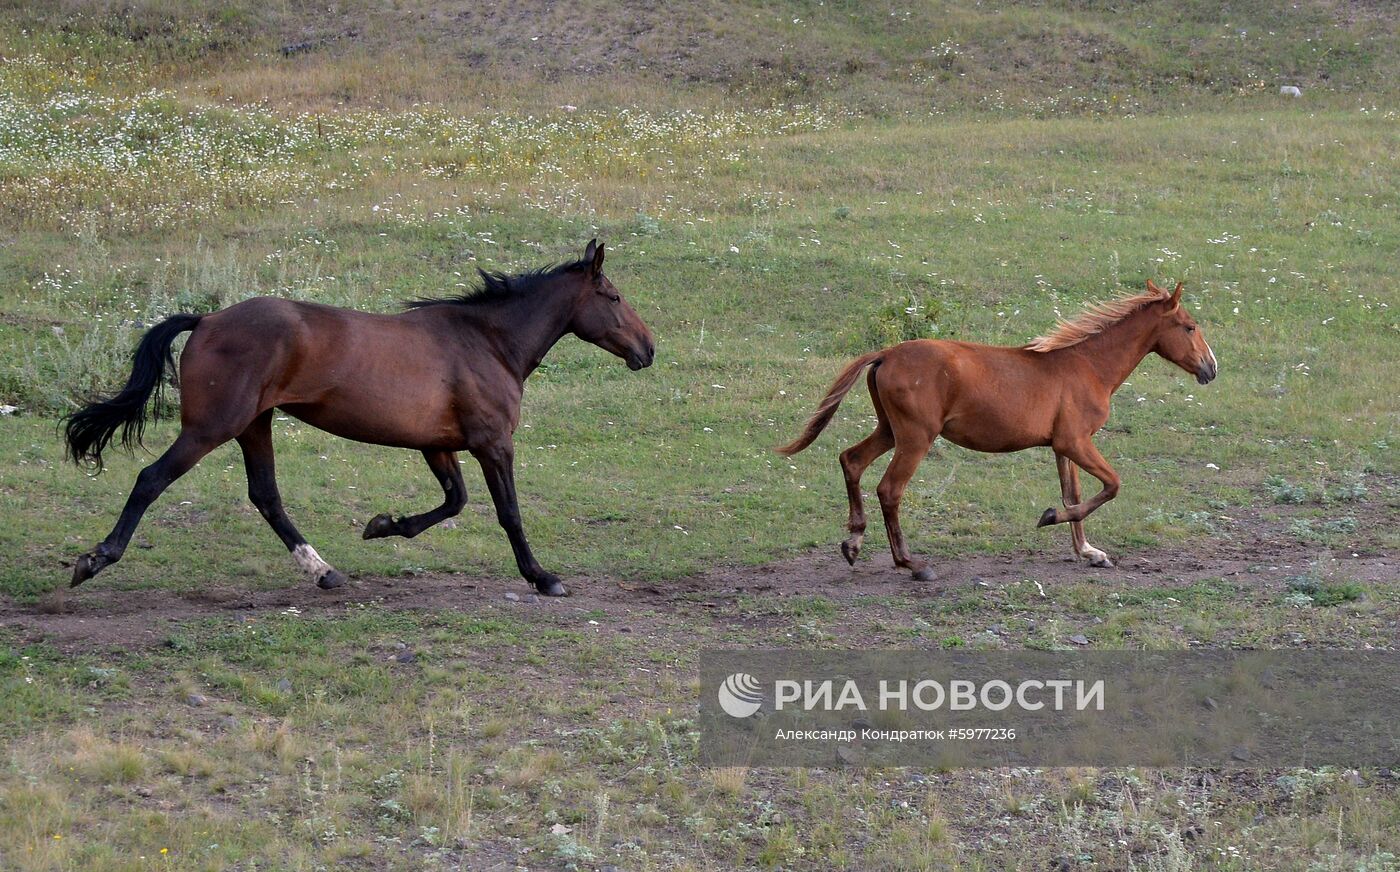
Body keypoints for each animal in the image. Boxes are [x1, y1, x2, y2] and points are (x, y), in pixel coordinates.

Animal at [65, 239, 655, 596]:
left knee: (266, 496)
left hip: (254, 426)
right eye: (614, 296)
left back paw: (324, 571)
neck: (488, 343)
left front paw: (383, 526)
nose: (648, 350)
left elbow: (454, 502)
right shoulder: (493, 443)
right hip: (212, 428)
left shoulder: (438, 445)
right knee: (151, 479)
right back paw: (95, 560)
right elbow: (507, 513)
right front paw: (542, 577)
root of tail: (207, 319)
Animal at [778, 279, 1215, 579]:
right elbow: (1111, 486)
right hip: (916, 438)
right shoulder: (1076, 441)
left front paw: (1088, 552)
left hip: (890, 431)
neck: (1088, 366)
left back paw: (853, 543)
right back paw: (911, 563)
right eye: (1190, 327)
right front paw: (1049, 518)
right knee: (889, 489)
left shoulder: (1063, 446)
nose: (1211, 368)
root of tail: (885, 354)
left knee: (851, 460)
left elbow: (1074, 494)